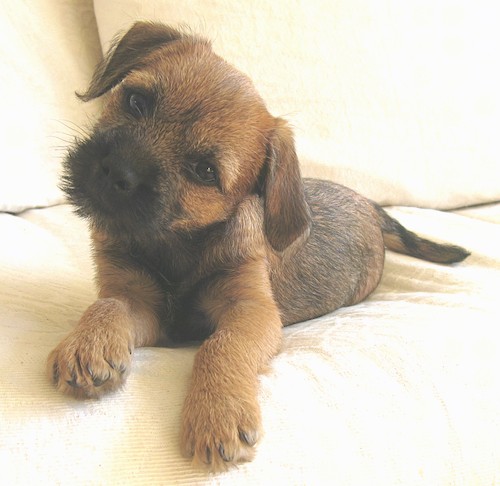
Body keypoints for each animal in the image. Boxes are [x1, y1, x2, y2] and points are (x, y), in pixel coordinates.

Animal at [47, 21, 468, 470]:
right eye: (136, 101)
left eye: (204, 171)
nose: (116, 172)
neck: (175, 243)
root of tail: (372, 205)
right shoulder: (138, 300)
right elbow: (108, 305)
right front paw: (88, 344)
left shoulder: (251, 310)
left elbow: (221, 345)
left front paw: (218, 411)